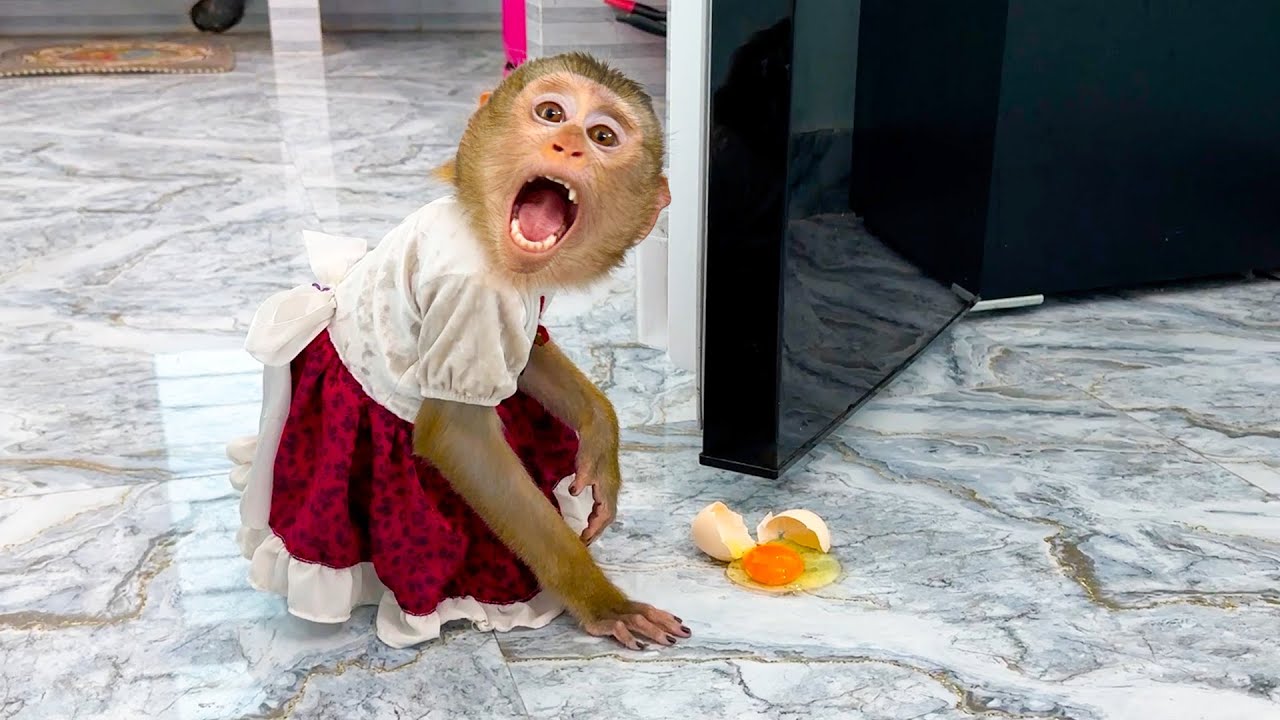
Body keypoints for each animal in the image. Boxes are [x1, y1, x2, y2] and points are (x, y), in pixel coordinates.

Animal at [230, 52, 687, 652]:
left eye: (603, 136)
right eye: (551, 113)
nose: (568, 145)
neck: (485, 232)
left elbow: (528, 358)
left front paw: (600, 440)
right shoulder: (470, 292)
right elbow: (458, 435)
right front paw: (599, 601)